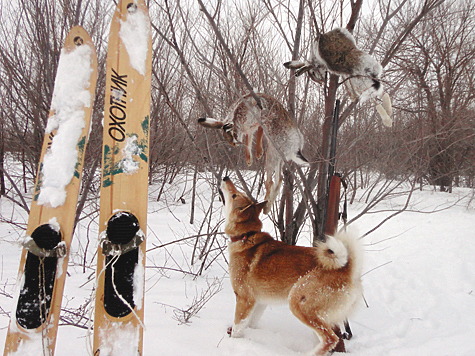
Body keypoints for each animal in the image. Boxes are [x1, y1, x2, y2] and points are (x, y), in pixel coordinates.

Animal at [220, 177, 364, 354]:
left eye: (234, 195)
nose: (225, 178)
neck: (246, 236)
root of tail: (347, 269)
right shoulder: (259, 302)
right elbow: (250, 324)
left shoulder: (244, 299)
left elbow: (237, 328)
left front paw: (234, 342)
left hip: (298, 303)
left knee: (330, 338)